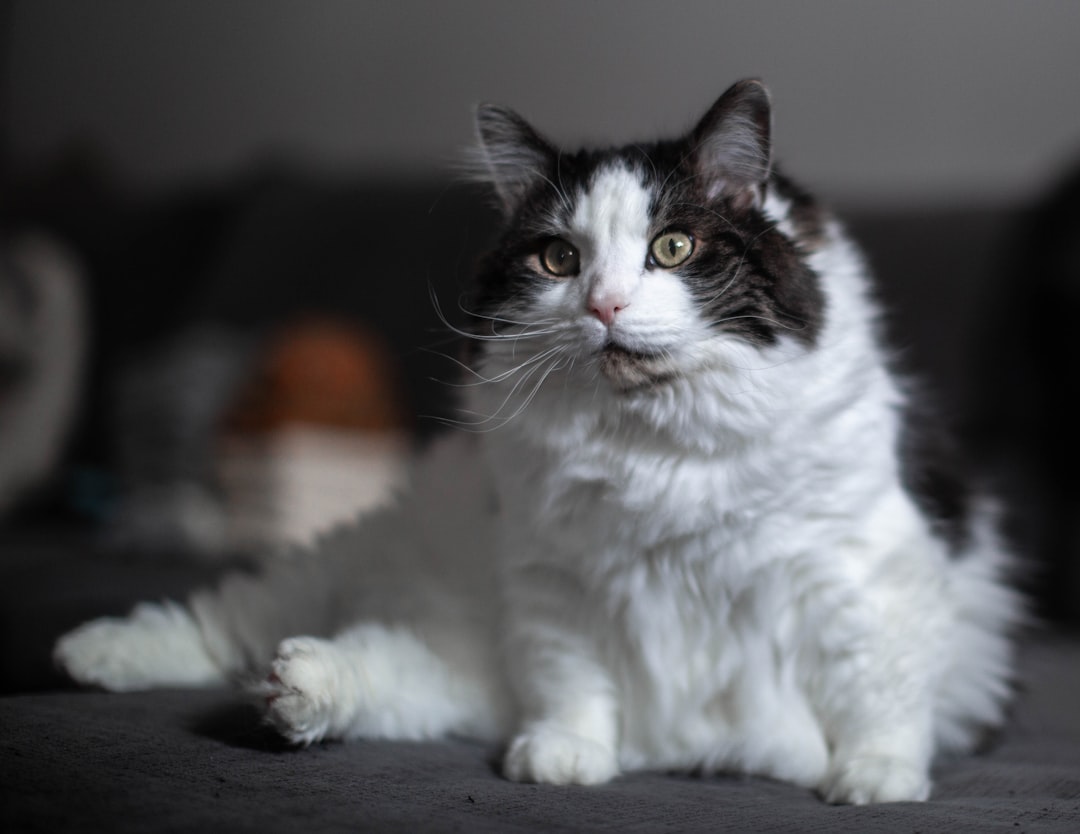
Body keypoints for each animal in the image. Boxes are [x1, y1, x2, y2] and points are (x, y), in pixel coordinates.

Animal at [56, 81, 1019, 803]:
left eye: (673, 248)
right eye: (559, 260)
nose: (605, 306)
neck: (653, 448)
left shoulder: (865, 571)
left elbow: (878, 688)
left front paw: (876, 779)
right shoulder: (556, 583)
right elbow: (573, 684)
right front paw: (567, 758)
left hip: (444, 664)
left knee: (354, 667)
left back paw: (289, 691)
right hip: (347, 572)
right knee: (224, 621)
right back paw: (99, 658)